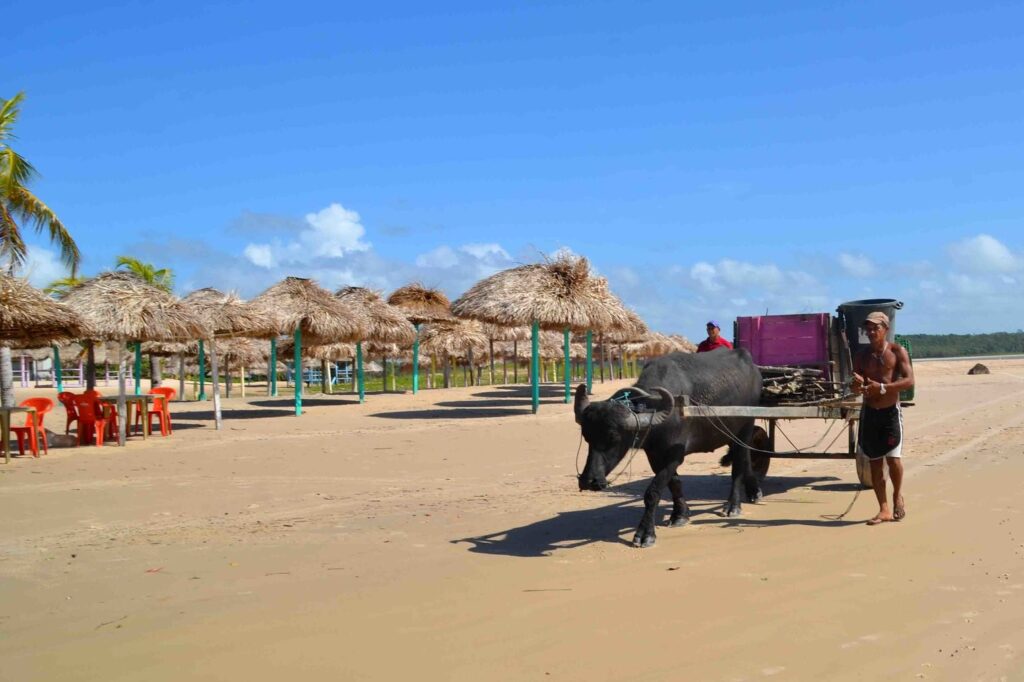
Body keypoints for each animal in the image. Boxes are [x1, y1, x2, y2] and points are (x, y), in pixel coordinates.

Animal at [577, 348, 761, 544]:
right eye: (586, 437)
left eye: (613, 437)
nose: (589, 481)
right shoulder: (654, 455)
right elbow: (674, 483)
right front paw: (680, 514)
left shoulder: (675, 456)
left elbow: (653, 491)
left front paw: (645, 533)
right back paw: (753, 492)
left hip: (745, 427)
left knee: (740, 463)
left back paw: (733, 505)